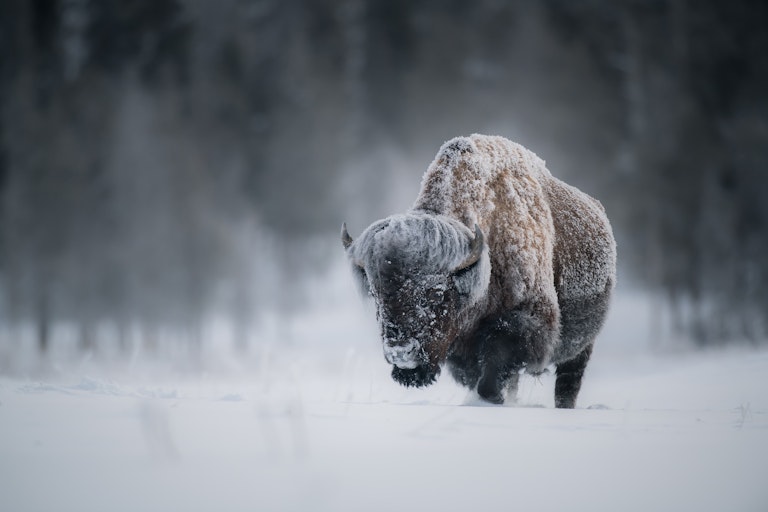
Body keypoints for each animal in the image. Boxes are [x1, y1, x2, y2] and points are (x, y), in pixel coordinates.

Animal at [342, 133, 616, 408]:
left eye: (437, 293)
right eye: (376, 294)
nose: (401, 353)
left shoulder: (526, 323)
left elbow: (492, 376)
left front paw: (490, 399)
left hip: (581, 348)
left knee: (567, 385)